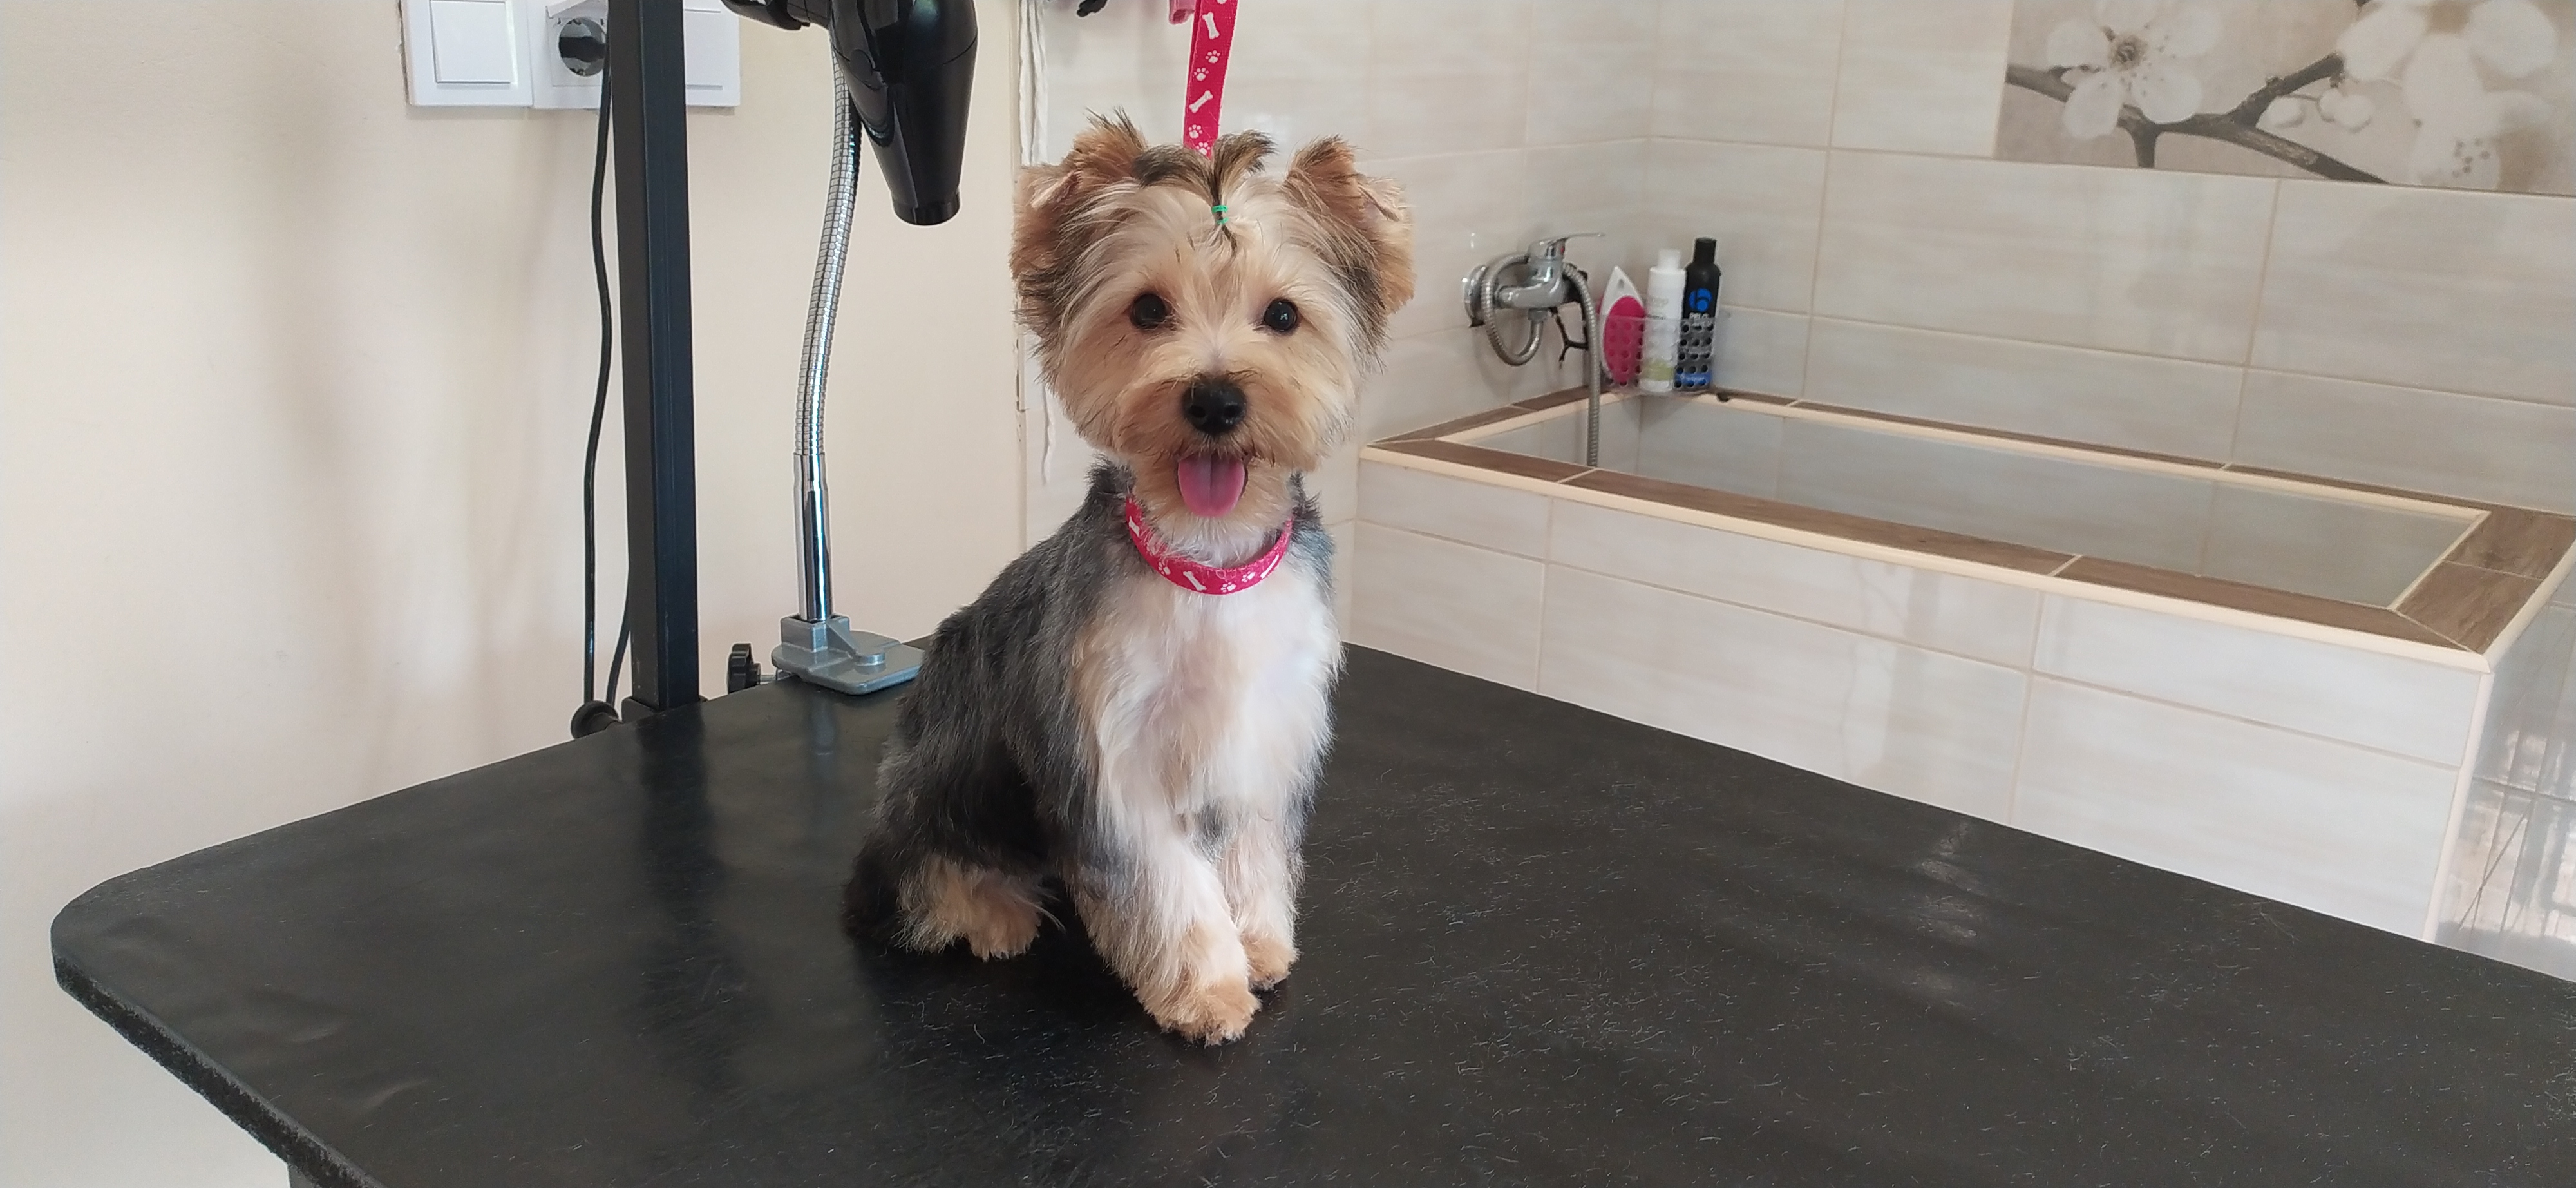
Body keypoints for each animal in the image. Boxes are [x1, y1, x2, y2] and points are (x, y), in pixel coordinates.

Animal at [842, 116, 1413, 1044]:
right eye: (1148, 309)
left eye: (1282, 315)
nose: (1215, 400)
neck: (1206, 562)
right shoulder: (1109, 753)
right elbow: (1167, 885)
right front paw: (1208, 989)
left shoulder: (1265, 739)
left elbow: (1253, 855)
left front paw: (1258, 945)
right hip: (936, 788)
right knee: (919, 878)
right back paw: (990, 912)